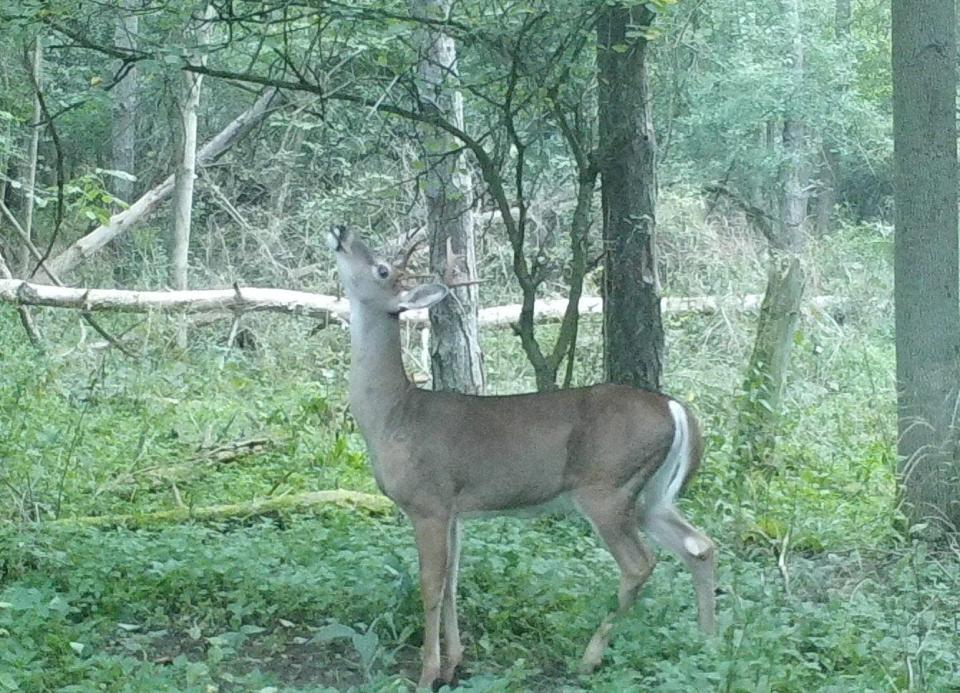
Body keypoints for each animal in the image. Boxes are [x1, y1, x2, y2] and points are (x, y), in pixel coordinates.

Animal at [328, 226, 712, 688]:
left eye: (382, 269)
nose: (341, 231)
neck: (392, 414)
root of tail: (675, 408)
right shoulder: (455, 509)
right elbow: (453, 581)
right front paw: (454, 664)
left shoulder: (428, 502)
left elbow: (431, 586)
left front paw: (427, 675)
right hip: (652, 496)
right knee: (699, 546)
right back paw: (712, 642)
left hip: (607, 488)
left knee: (640, 564)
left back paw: (589, 659)